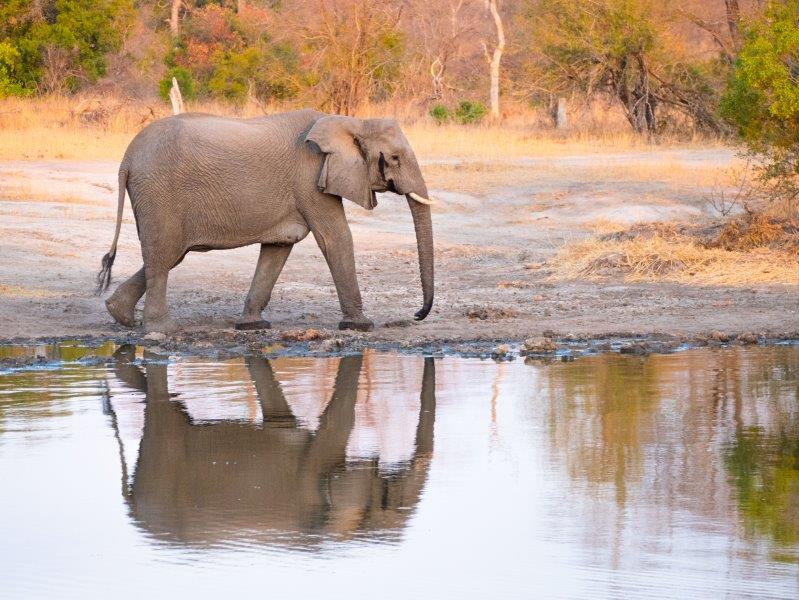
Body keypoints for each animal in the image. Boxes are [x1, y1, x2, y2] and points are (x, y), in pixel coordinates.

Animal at [98, 108, 438, 332]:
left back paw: (120, 316)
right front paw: (361, 326)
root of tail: (126, 159)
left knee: (168, 255)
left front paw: (253, 326)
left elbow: (278, 247)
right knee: (163, 254)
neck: (351, 121)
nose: (417, 315)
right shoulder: (309, 179)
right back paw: (162, 330)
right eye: (394, 159)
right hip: (159, 193)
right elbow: (335, 238)